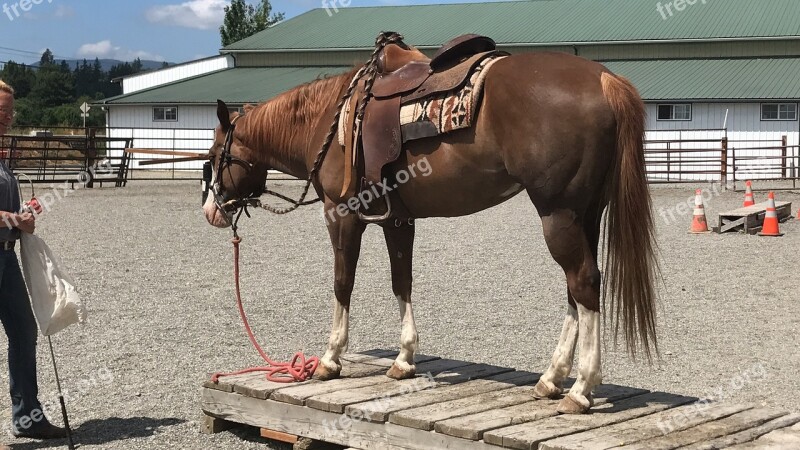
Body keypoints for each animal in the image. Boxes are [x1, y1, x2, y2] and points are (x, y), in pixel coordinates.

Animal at [205, 47, 656, 414]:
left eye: (214, 156)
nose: (211, 210)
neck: (331, 121)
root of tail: (603, 78)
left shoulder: (342, 214)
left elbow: (342, 283)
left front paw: (330, 359)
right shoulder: (396, 219)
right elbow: (401, 281)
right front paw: (404, 360)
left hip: (558, 214)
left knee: (583, 283)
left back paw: (581, 389)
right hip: (585, 214)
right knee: (576, 290)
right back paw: (552, 379)